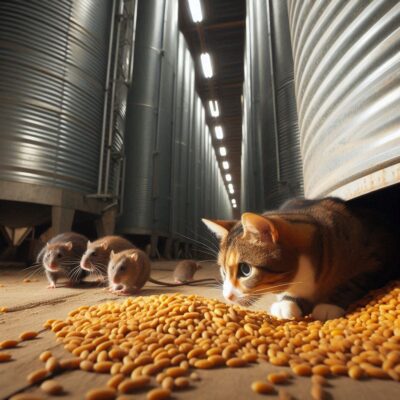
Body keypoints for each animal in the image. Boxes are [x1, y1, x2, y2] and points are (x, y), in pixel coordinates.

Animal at [205, 197, 398, 322]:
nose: (227, 296)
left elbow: (353, 282)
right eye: (223, 271)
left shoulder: (375, 257)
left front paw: (328, 305)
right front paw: (287, 303)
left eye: (245, 270)